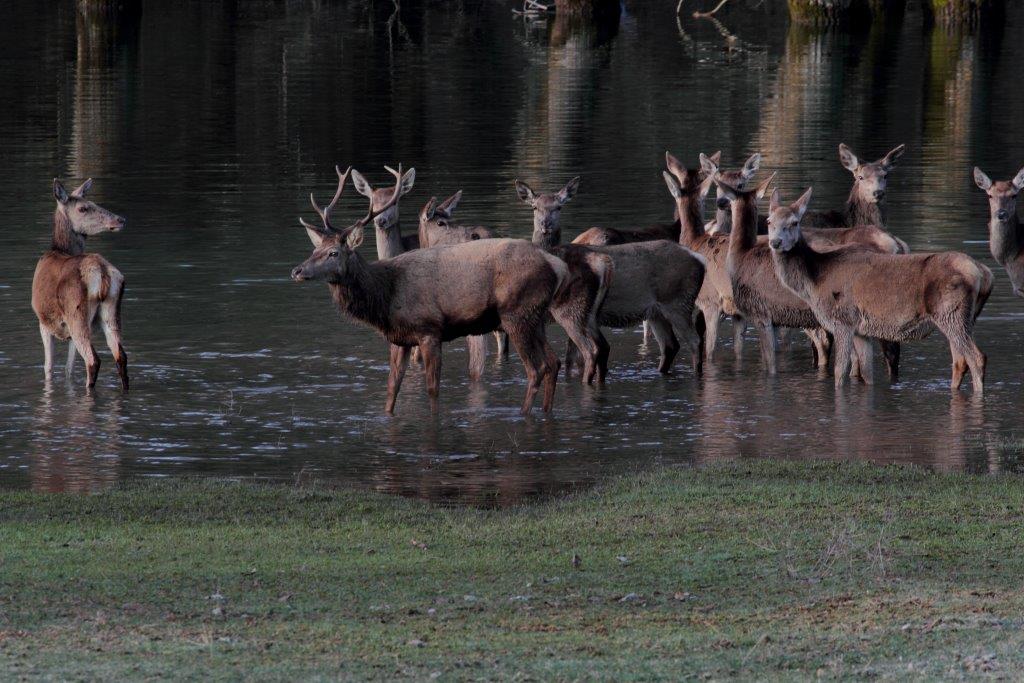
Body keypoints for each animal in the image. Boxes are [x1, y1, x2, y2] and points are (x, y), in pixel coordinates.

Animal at [32, 179, 129, 393]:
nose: (120, 220)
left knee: (93, 360)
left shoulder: (43, 322)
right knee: (121, 356)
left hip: (76, 312)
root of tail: (102, 272)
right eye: (84, 207)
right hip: (111, 311)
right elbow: (68, 368)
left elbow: (49, 367)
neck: (60, 249)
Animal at [292, 167, 569, 417]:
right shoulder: (399, 338)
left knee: (536, 369)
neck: (385, 295)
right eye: (314, 250)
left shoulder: (430, 330)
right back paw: (546, 411)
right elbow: (392, 388)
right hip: (535, 317)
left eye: (333, 253)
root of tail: (557, 265)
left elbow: (433, 389)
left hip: (516, 314)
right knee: (553, 363)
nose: (296, 270)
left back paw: (523, 414)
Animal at [516, 176, 708, 378]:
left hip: (678, 302)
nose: (545, 225)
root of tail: (699, 259)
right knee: (671, 345)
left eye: (559, 207)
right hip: (657, 311)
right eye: (534, 207)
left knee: (694, 341)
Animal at [770, 185, 991, 395]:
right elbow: (867, 374)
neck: (814, 280)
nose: (775, 242)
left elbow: (840, 373)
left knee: (977, 357)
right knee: (960, 361)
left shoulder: (843, 321)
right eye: (770, 222)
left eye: (794, 222)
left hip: (950, 313)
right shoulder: (861, 330)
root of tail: (984, 273)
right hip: (963, 319)